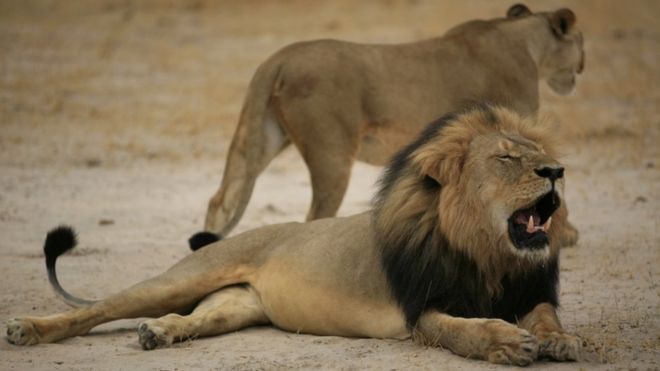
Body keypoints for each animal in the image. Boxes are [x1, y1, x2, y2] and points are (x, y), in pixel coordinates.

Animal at [7, 106, 580, 368]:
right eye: (506, 158)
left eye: (538, 153)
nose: (557, 171)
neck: (488, 254)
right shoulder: (423, 309)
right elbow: (465, 331)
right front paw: (507, 342)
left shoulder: (528, 290)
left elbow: (546, 316)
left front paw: (560, 340)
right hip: (182, 277)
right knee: (97, 310)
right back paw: (28, 329)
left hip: (235, 306)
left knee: (192, 318)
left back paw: (159, 333)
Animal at [201, 3, 584, 247]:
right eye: (580, 44)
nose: (580, 70)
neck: (526, 41)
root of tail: (277, 58)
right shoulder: (513, 129)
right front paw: (565, 234)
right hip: (331, 153)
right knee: (314, 216)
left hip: (263, 137)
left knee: (222, 199)